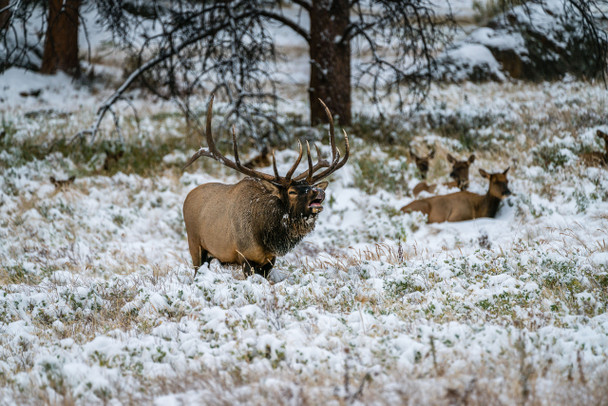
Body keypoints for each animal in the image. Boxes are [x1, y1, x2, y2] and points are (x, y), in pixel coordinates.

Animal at [183, 95, 350, 280]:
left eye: (311, 186)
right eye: (291, 191)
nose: (319, 191)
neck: (267, 236)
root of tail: (187, 197)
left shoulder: (269, 260)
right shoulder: (244, 256)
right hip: (194, 243)